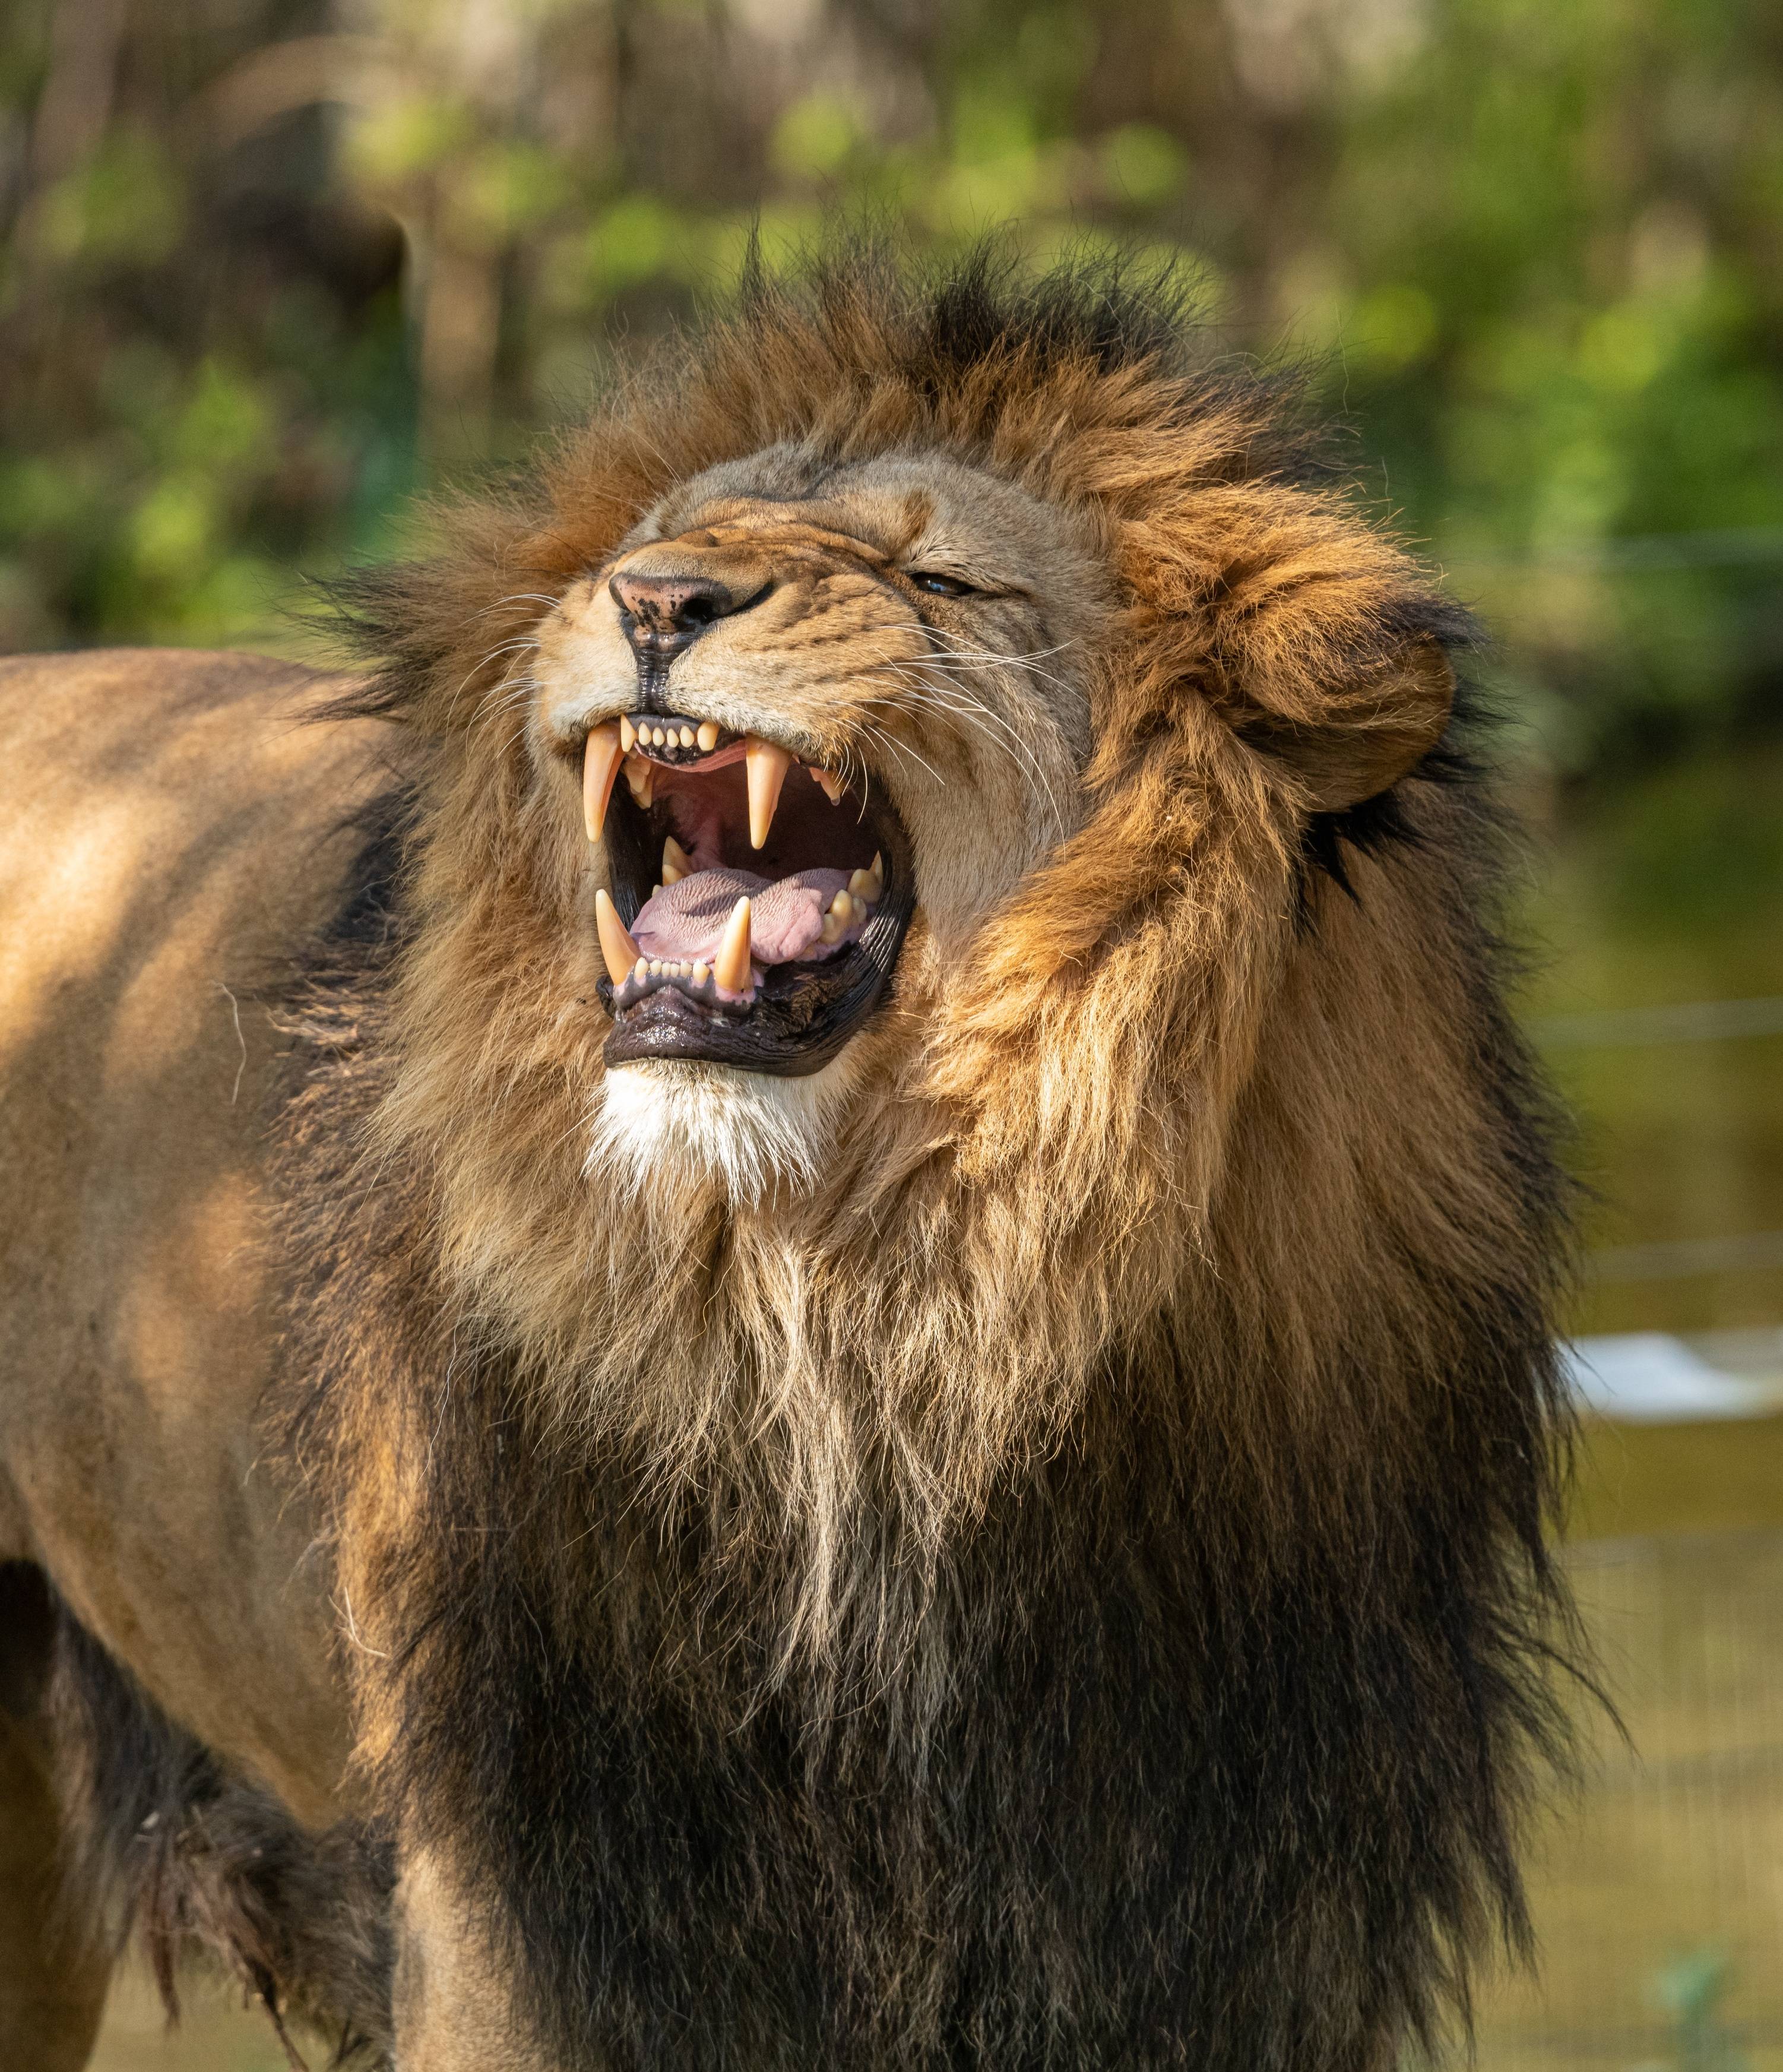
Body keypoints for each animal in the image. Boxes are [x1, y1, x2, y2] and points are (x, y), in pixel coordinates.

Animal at [0, 259, 1573, 2072]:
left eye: (944, 578)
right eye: (663, 538)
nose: (656, 599)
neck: (872, 1324)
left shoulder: (1225, 1922)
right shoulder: (533, 1910)